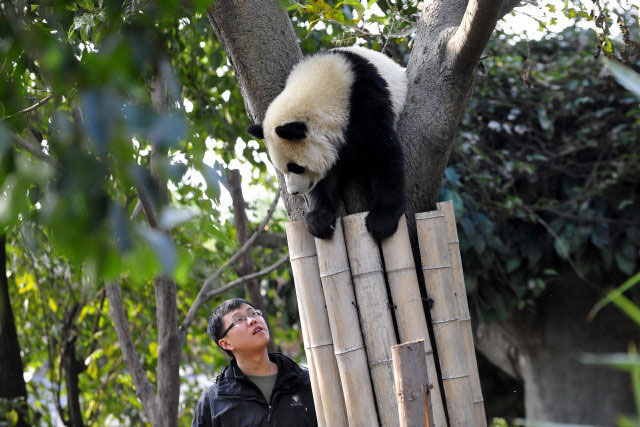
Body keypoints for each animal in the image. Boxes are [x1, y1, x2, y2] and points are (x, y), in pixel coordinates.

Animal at [248, 47, 408, 241]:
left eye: (296, 167)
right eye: (282, 169)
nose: (294, 192)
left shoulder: (365, 104)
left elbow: (383, 154)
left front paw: (382, 221)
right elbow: (323, 179)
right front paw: (320, 219)